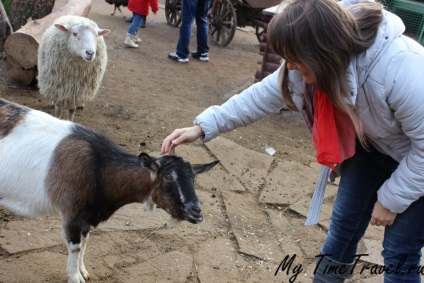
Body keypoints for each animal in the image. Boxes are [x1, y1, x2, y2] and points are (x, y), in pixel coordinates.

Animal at [0, 98, 219, 283]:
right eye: (167, 177)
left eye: (194, 178)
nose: (197, 212)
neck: (99, 167)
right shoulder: (72, 214)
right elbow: (76, 246)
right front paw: (75, 277)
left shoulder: (86, 216)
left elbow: (85, 242)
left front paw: (83, 271)